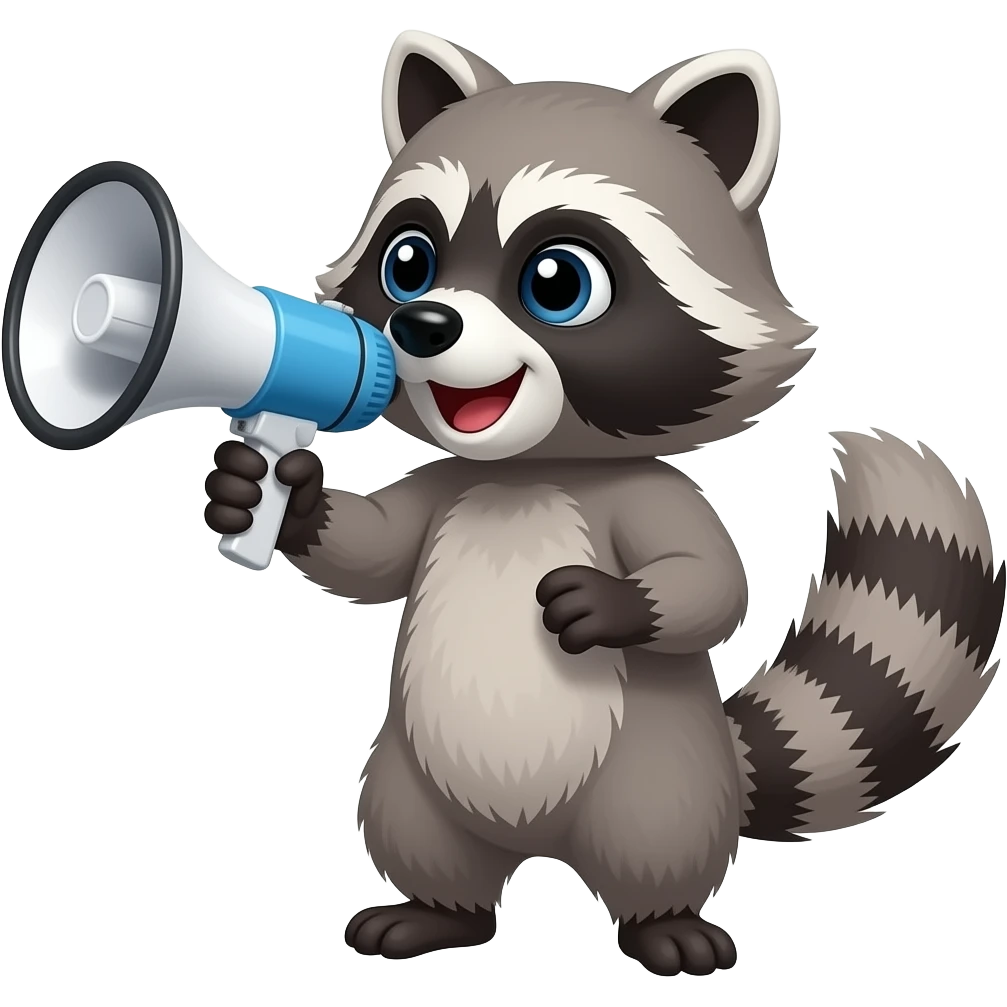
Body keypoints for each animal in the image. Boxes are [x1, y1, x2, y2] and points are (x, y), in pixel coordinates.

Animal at [203, 32, 1005, 976]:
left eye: (557, 280)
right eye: (408, 262)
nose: (421, 326)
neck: (528, 469)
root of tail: (541, 842)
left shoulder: (649, 490)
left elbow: (712, 582)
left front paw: (614, 600)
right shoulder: (450, 483)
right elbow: (378, 550)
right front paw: (282, 499)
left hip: (659, 775)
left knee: (657, 837)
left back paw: (663, 921)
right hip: (408, 773)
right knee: (421, 835)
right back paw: (437, 912)